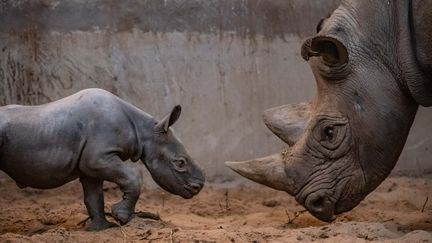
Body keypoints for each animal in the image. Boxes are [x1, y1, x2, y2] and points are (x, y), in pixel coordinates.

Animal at [0, 88, 204, 231]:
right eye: (180, 163)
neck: (144, 130)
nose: (198, 188)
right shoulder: (98, 157)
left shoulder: (89, 164)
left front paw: (100, 228)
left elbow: (94, 196)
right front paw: (121, 217)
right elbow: (132, 177)